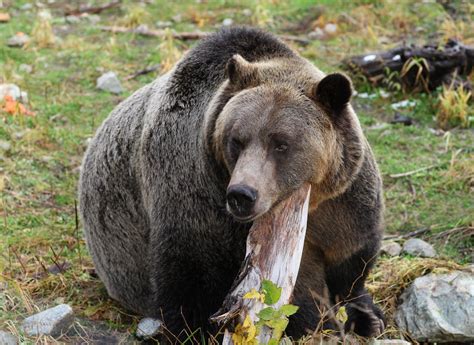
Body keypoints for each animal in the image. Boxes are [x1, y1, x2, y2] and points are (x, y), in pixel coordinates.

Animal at [80, 26, 386, 338]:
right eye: (236, 140)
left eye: (281, 144)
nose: (242, 194)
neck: (309, 201)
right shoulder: (196, 194)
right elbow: (194, 277)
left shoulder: (343, 202)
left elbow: (352, 258)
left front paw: (367, 316)